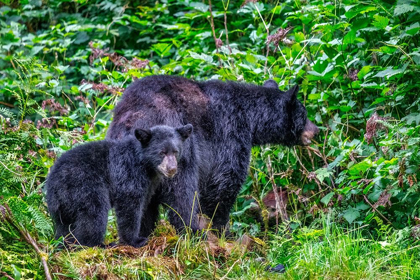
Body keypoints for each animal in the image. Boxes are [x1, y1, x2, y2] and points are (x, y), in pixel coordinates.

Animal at [45, 124, 192, 247]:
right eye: (162, 152)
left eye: (175, 151)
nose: (172, 169)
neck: (145, 165)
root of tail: (53, 183)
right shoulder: (129, 172)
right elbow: (129, 205)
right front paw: (135, 240)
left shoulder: (150, 183)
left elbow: (145, 204)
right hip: (83, 186)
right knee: (94, 214)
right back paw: (97, 244)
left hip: (63, 206)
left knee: (65, 225)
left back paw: (64, 244)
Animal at [107, 75, 318, 236]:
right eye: (304, 114)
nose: (316, 130)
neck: (250, 118)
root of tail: (135, 122)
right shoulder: (230, 135)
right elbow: (223, 184)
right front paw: (224, 230)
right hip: (177, 152)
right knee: (182, 193)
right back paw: (192, 231)